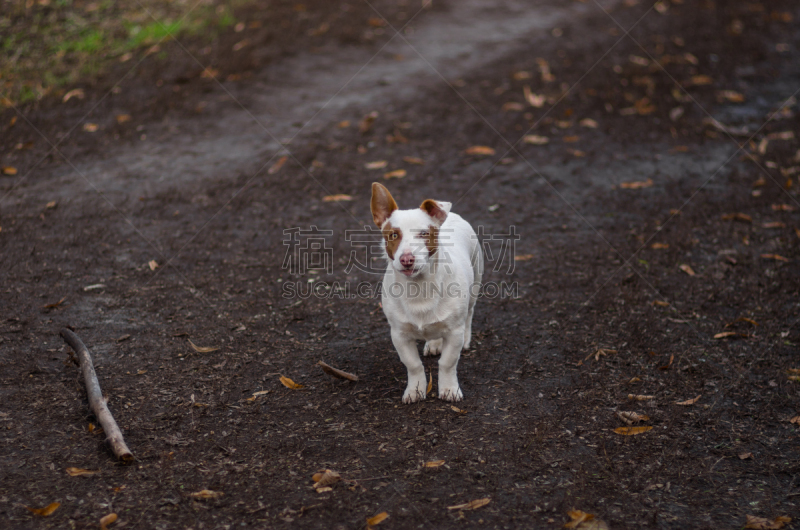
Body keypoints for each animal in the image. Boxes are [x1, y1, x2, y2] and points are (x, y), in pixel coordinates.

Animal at [368, 182, 482, 400]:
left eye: (423, 234)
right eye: (393, 235)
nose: (406, 259)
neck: (419, 287)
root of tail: (450, 214)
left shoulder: (454, 332)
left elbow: (447, 363)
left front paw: (449, 389)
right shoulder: (399, 335)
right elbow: (413, 365)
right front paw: (416, 389)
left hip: (475, 282)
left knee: (470, 313)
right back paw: (435, 343)